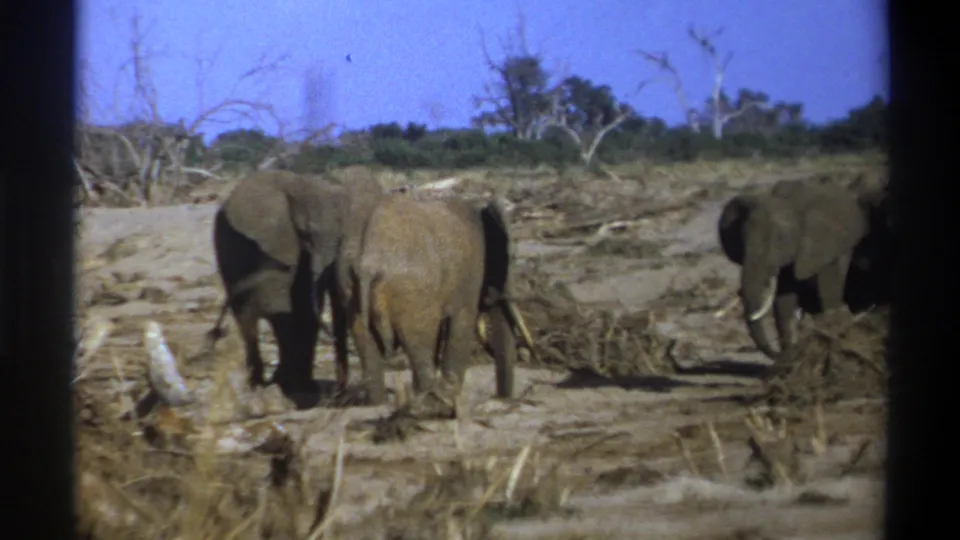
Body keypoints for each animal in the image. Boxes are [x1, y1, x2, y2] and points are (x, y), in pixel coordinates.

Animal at [206, 168, 386, 402]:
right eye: (307, 234)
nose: (338, 392)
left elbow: (305, 309)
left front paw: (299, 386)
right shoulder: (275, 242)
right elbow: (284, 308)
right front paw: (289, 385)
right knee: (247, 316)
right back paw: (261, 384)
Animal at [337, 193, 534, 406]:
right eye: (512, 258)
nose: (504, 398)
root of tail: (368, 261)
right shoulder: (470, 273)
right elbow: (462, 322)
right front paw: (451, 394)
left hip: (348, 285)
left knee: (366, 341)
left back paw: (381, 402)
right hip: (412, 290)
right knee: (420, 341)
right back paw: (430, 398)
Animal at [718, 179, 870, 359]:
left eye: (781, 239)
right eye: (743, 238)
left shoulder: (825, 247)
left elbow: (828, 292)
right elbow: (784, 301)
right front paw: (791, 354)